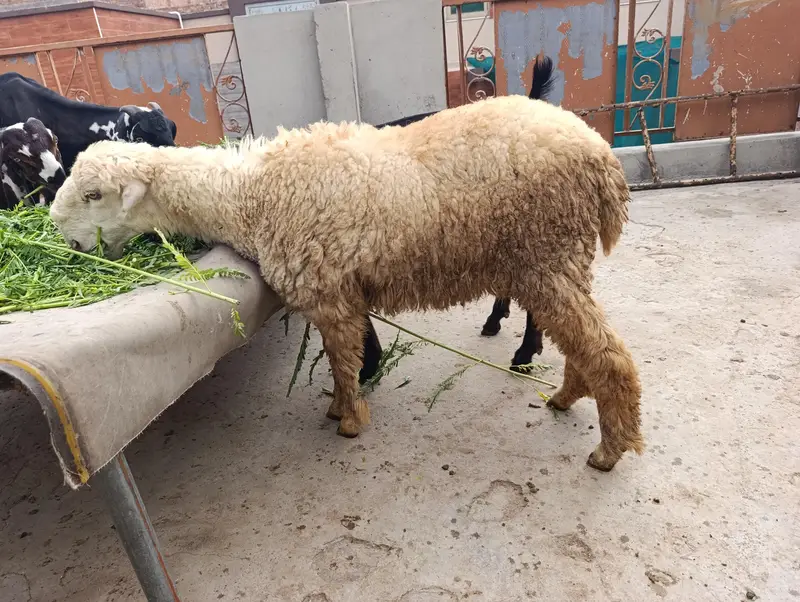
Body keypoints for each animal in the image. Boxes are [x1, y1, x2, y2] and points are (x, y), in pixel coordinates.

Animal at [49, 94, 644, 471]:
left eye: (94, 195)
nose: (63, 237)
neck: (250, 195)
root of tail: (601, 157)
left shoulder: (329, 293)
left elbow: (342, 358)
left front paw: (349, 422)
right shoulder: (336, 290)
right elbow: (348, 357)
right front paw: (341, 406)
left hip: (547, 250)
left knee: (609, 355)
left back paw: (609, 450)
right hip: (559, 259)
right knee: (586, 345)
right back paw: (565, 398)